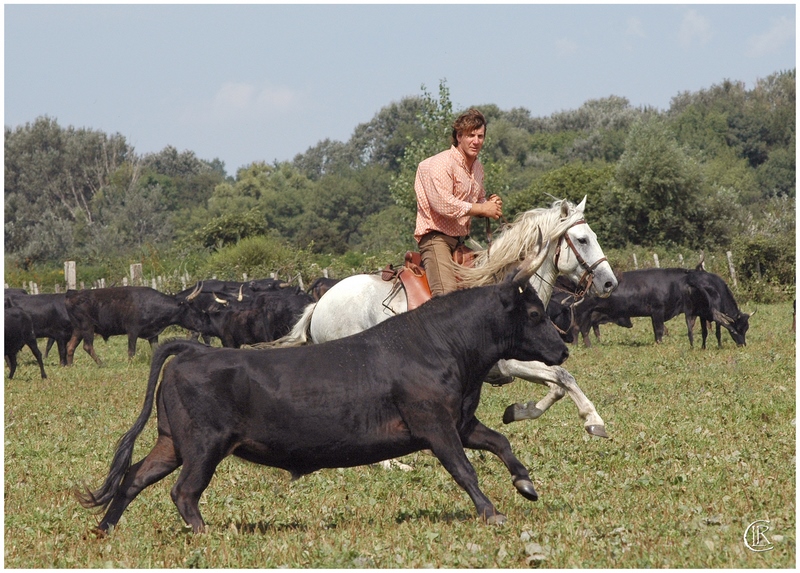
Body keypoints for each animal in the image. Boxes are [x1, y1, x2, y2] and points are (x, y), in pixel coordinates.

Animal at [65, 284, 209, 364]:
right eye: (192, 310)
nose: (201, 326)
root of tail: (72, 295)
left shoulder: (153, 335)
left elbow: (156, 350)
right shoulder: (132, 331)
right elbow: (131, 351)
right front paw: (130, 364)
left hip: (78, 329)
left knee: (70, 346)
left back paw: (70, 365)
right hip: (87, 327)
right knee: (87, 346)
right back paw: (101, 364)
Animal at [278, 199, 616, 436]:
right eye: (582, 239)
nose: (610, 283)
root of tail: (320, 304)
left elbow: (559, 383)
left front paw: (518, 411)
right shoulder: (510, 363)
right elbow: (563, 377)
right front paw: (594, 420)